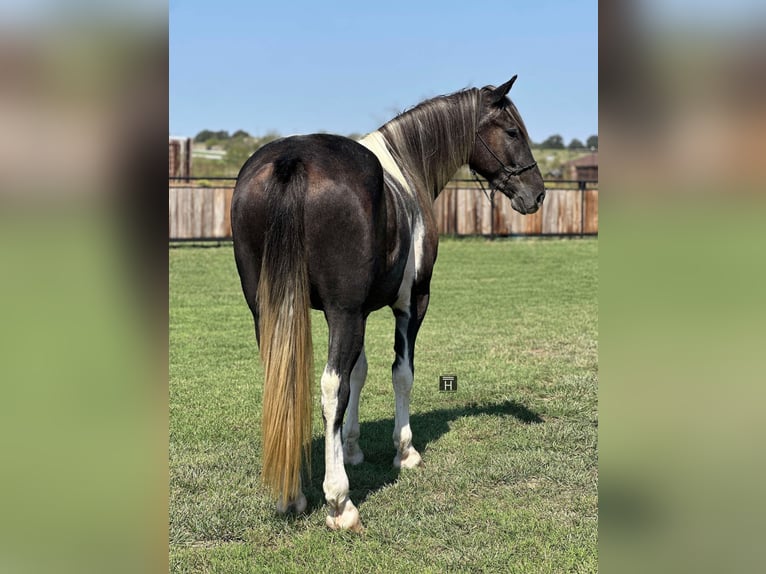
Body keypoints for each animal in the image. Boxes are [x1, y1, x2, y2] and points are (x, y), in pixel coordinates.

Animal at [231, 76, 545, 532]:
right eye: (512, 132)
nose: (536, 194)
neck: (405, 168)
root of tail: (292, 160)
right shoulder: (410, 304)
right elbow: (400, 374)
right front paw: (405, 452)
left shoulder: (354, 311)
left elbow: (358, 374)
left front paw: (352, 448)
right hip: (344, 312)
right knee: (330, 389)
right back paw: (339, 503)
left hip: (269, 309)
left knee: (285, 379)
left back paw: (290, 495)